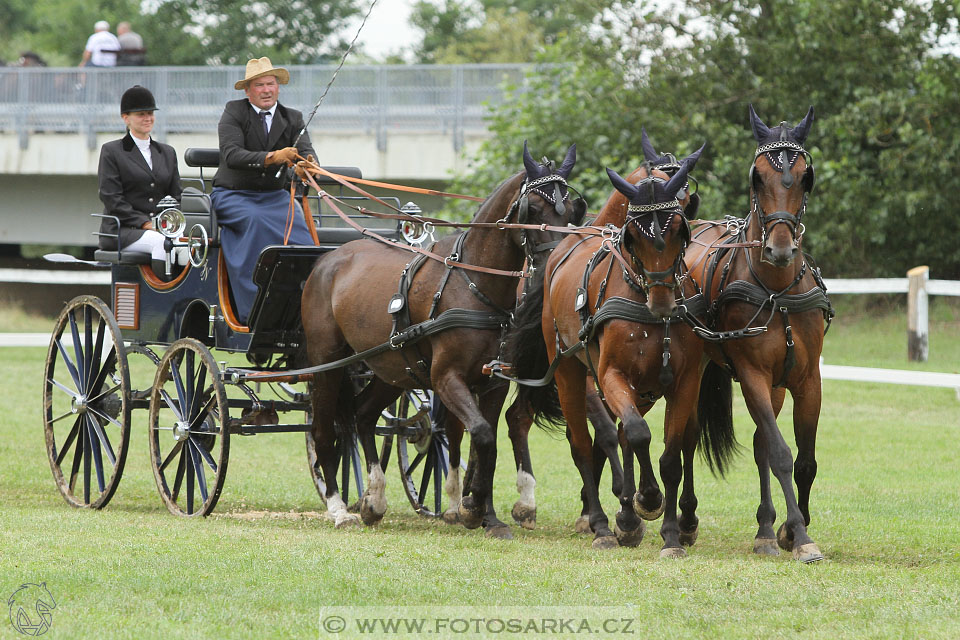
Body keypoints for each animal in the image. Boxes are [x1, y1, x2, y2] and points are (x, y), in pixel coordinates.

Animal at [304, 142, 580, 532]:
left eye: (570, 210)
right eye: (535, 208)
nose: (556, 262)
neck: (475, 285)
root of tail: (327, 261)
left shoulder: (493, 382)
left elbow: (485, 441)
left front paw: (484, 513)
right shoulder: (446, 377)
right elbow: (481, 435)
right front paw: (472, 507)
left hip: (393, 368)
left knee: (363, 415)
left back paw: (374, 499)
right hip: (327, 365)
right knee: (325, 432)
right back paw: (339, 508)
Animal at [684, 106, 832, 564]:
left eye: (804, 176)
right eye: (757, 177)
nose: (780, 250)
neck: (778, 291)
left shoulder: (807, 380)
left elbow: (804, 460)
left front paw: (786, 530)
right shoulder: (751, 375)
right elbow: (782, 454)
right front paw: (800, 536)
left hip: (778, 385)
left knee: (758, 443)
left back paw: (765, 528)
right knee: (688, 435)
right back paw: (687, 520)